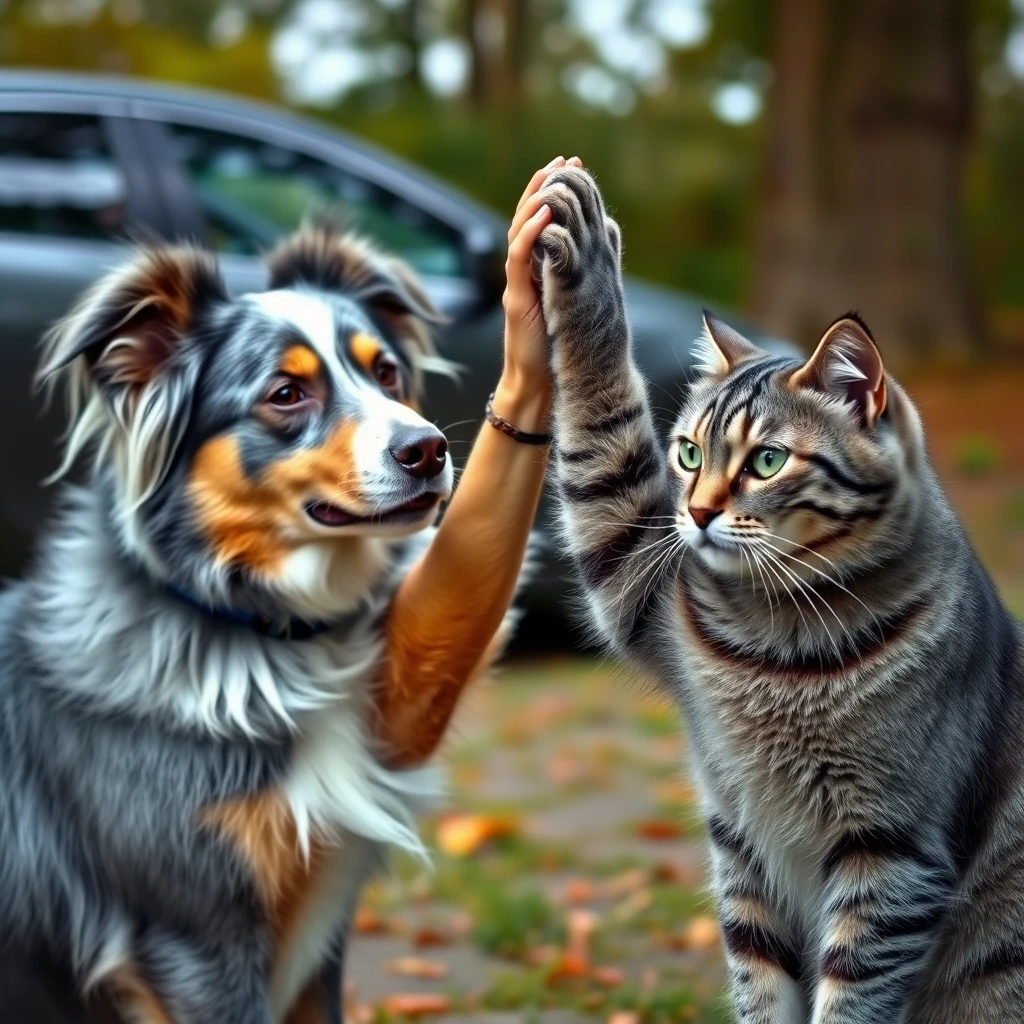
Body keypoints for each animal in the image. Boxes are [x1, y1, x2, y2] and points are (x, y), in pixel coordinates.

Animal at [536, 163, 1024, 1019]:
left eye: (766, 462)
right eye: (689, 454)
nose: (697, 514)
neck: (779, 637)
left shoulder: (891, 852)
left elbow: (849, 995)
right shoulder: (637, 569)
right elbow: (602, 438)